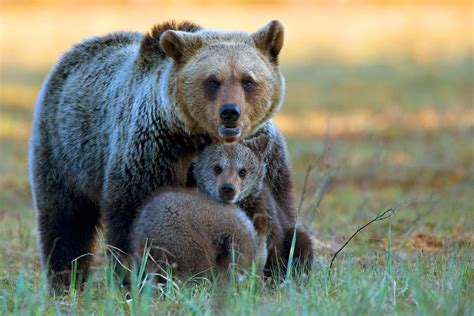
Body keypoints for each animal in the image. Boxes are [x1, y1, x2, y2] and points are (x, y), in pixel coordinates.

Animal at [29, 19, 304, 288]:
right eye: (212, 81)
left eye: (248, 80)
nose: (230, 112)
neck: (198, 139)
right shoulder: (153, 152)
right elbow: (133, 216)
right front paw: (130, 276)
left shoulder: (267, 161)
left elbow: (277, 218)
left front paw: (286, 265)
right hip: (65, 150)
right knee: (65, 218)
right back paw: (65, 277)